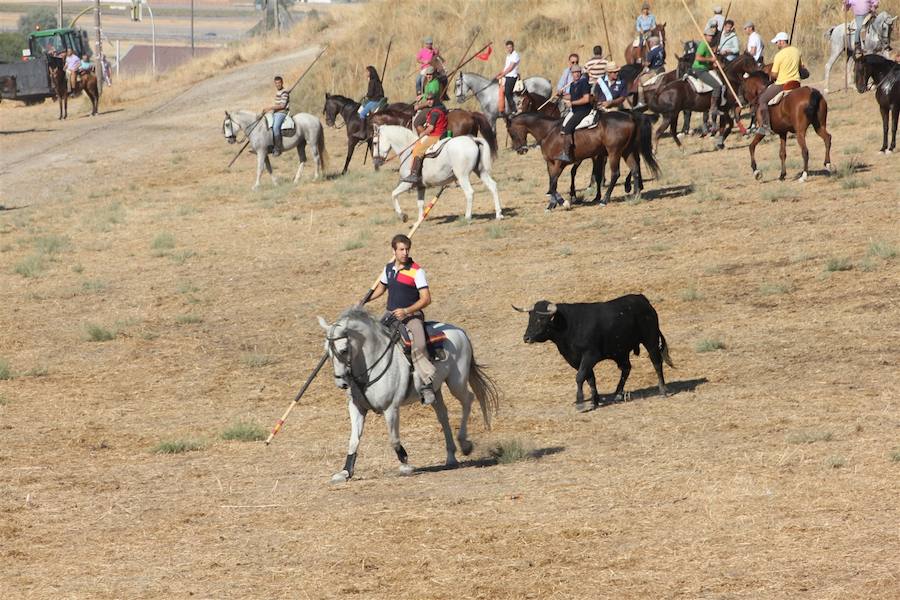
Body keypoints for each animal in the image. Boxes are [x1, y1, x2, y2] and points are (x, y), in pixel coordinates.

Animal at [316, 310, 500, 482]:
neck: (371, 364)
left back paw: (465, 444)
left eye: (344, 350)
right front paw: (345, 472)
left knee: (468, 399)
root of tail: (460, 331)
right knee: (443, 416)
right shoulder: (357, 408)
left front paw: (405, 464)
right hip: (436, 390)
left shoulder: (390, 408)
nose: (341, 383)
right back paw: (451, 457)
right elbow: (353, 440)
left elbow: (393, 438)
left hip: (456, 382)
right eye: (327, 351)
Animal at [370, 124, 502, 223]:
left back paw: (467, 217)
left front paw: (403, 216)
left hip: (462, 176)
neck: (408, 151)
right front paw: (419, 220)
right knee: (493, 186)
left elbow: (393, 195)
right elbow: (420, 203)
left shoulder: (407, 183)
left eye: (375, 142)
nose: (376, 162)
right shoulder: (420, 186)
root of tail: (472, 139)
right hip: (481, 171)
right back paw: (499, 214)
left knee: (469, 193)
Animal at [506, 111, 660, 210]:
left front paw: (563, 202)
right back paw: (635, 195)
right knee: (635, 169)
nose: (520, 150)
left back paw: (604, 200)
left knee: (615, 174)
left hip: (614, 152)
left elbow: (553, 184)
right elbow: (552, 182)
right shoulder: (550, 163)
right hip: (626, 151)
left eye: (511, 132)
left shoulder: (559, 163)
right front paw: (551, 204)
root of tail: (630, 116)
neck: (548, 131)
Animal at [516, 296, 672, 412]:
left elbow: (580, 377)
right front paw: (594, 401)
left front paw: (580, 402)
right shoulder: (575, 359)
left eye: (540, 319)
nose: (526, 338)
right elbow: (590, 378)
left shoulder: (590, 355)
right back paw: (617, 394)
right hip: (621, 351)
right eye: (530, 318)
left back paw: (662, 391)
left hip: (650, 340)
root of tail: (643, 300)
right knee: (626, 368)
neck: (570, 324)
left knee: (656, 362)